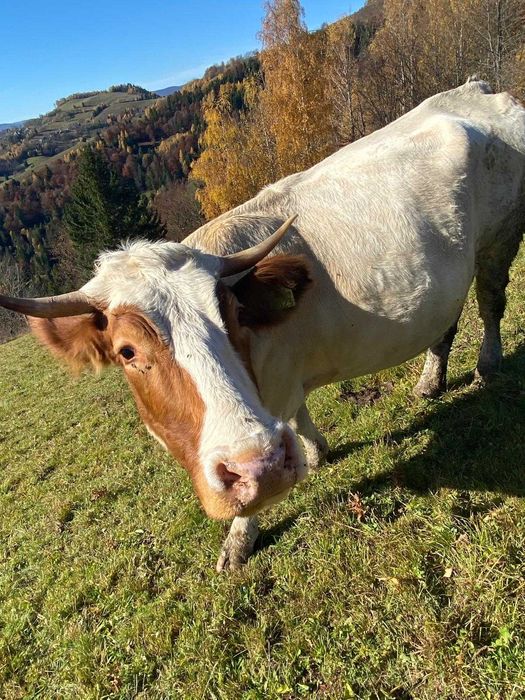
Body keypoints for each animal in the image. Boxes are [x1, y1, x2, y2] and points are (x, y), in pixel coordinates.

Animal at [1, 79, 524, 570]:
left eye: (234, 318)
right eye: (128, 352)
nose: (263, 468)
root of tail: (476, 90)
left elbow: (262, 475)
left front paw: (239, 539)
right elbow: (297, 419)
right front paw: (316, 451)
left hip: (500, 239)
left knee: (490, 303)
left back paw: (487, 365)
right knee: (447, 320)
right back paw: (430, 382)